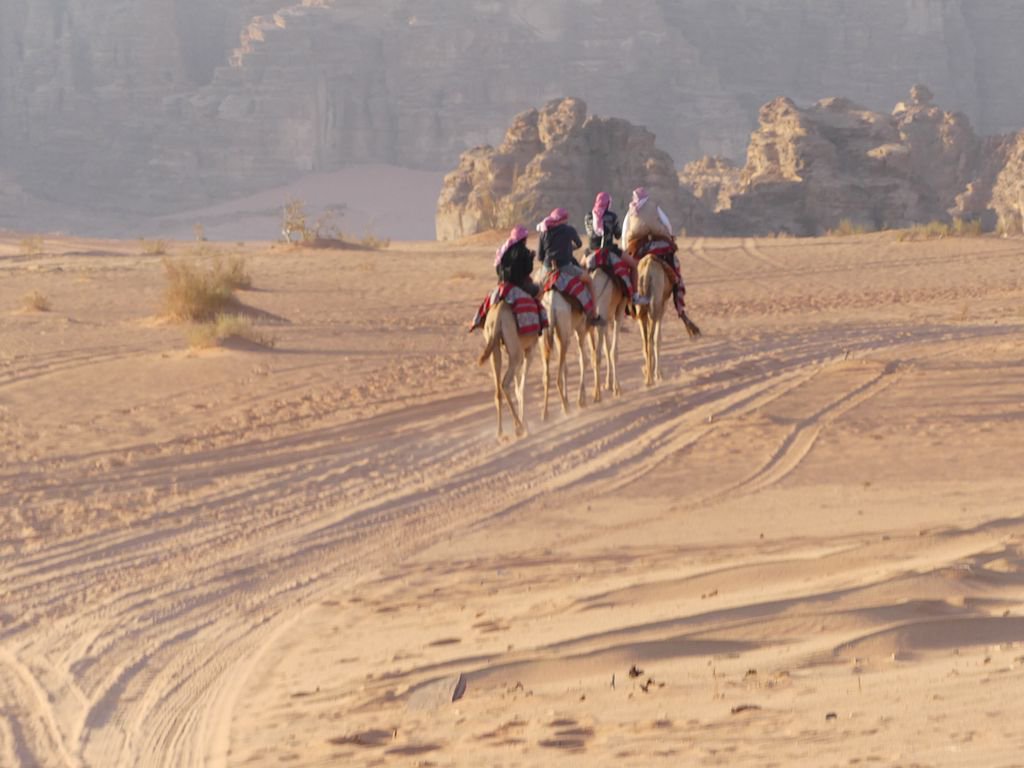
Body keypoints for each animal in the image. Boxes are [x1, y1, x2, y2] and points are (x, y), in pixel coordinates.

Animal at [478, 301, 537, 438]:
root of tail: (497, 316)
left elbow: (517, 388)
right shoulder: (529, 350)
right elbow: (521, 388)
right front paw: (525, 425)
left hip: (494, 346)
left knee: (498, 391)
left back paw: (500, 432)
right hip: (516, 352)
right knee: (504, 384)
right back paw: (519, 427)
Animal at [541, 288, 591, 420]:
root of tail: (551, 303)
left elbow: (566, 368)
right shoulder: (581, 328)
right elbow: (583, 361)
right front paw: (581, 401)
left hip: (545, 339)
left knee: (546, 377)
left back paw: (545, 413)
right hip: (564, 336)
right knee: (558, 378)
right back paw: (566, 409)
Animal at [588, 265, 628, 399]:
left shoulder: (606, 319)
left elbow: (607, 349)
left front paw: (608, 384)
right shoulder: (618, 312)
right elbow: (612, 352)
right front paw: (617, 389)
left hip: (591, 322)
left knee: (594, 354)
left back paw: (595, 392)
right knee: (597, 355)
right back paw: (597, 395)